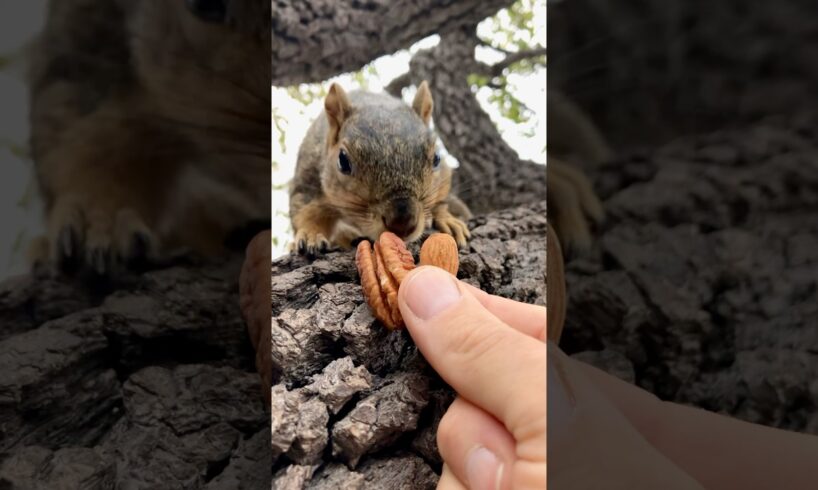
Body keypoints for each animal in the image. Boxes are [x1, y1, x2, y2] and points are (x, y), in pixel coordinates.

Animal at [289, 82, 472, 256]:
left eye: (437, 158)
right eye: (343, 160)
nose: (402, 224)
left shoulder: (444, 177)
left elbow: (441, 199)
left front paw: (447, 219)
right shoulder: (308, 175)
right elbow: (307, 210)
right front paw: (311, 234)